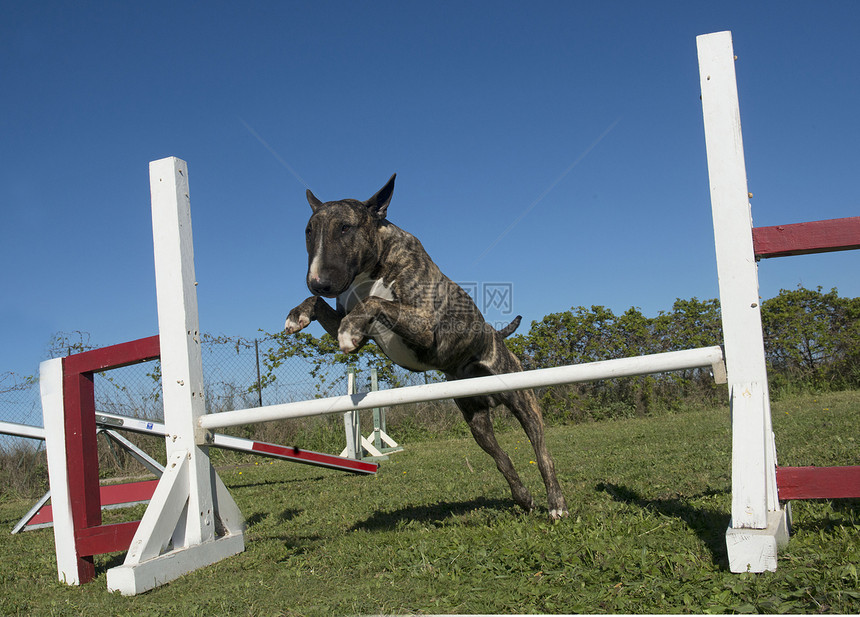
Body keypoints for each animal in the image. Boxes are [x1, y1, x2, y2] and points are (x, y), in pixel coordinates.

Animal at [284, 174, 572, 520]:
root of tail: (496, 337)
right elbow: (323, 307)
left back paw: (556, 504)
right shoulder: (354, 321)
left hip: (523, 400)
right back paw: (524, 498)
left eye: (345, 227)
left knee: (542, 453)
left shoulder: (424, 326)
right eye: (309, 230)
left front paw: (349, 330)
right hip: (476, 421)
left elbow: (373, 302)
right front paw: (298, 315)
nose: (318, 282)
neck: (371, 270)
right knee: (502, 458)